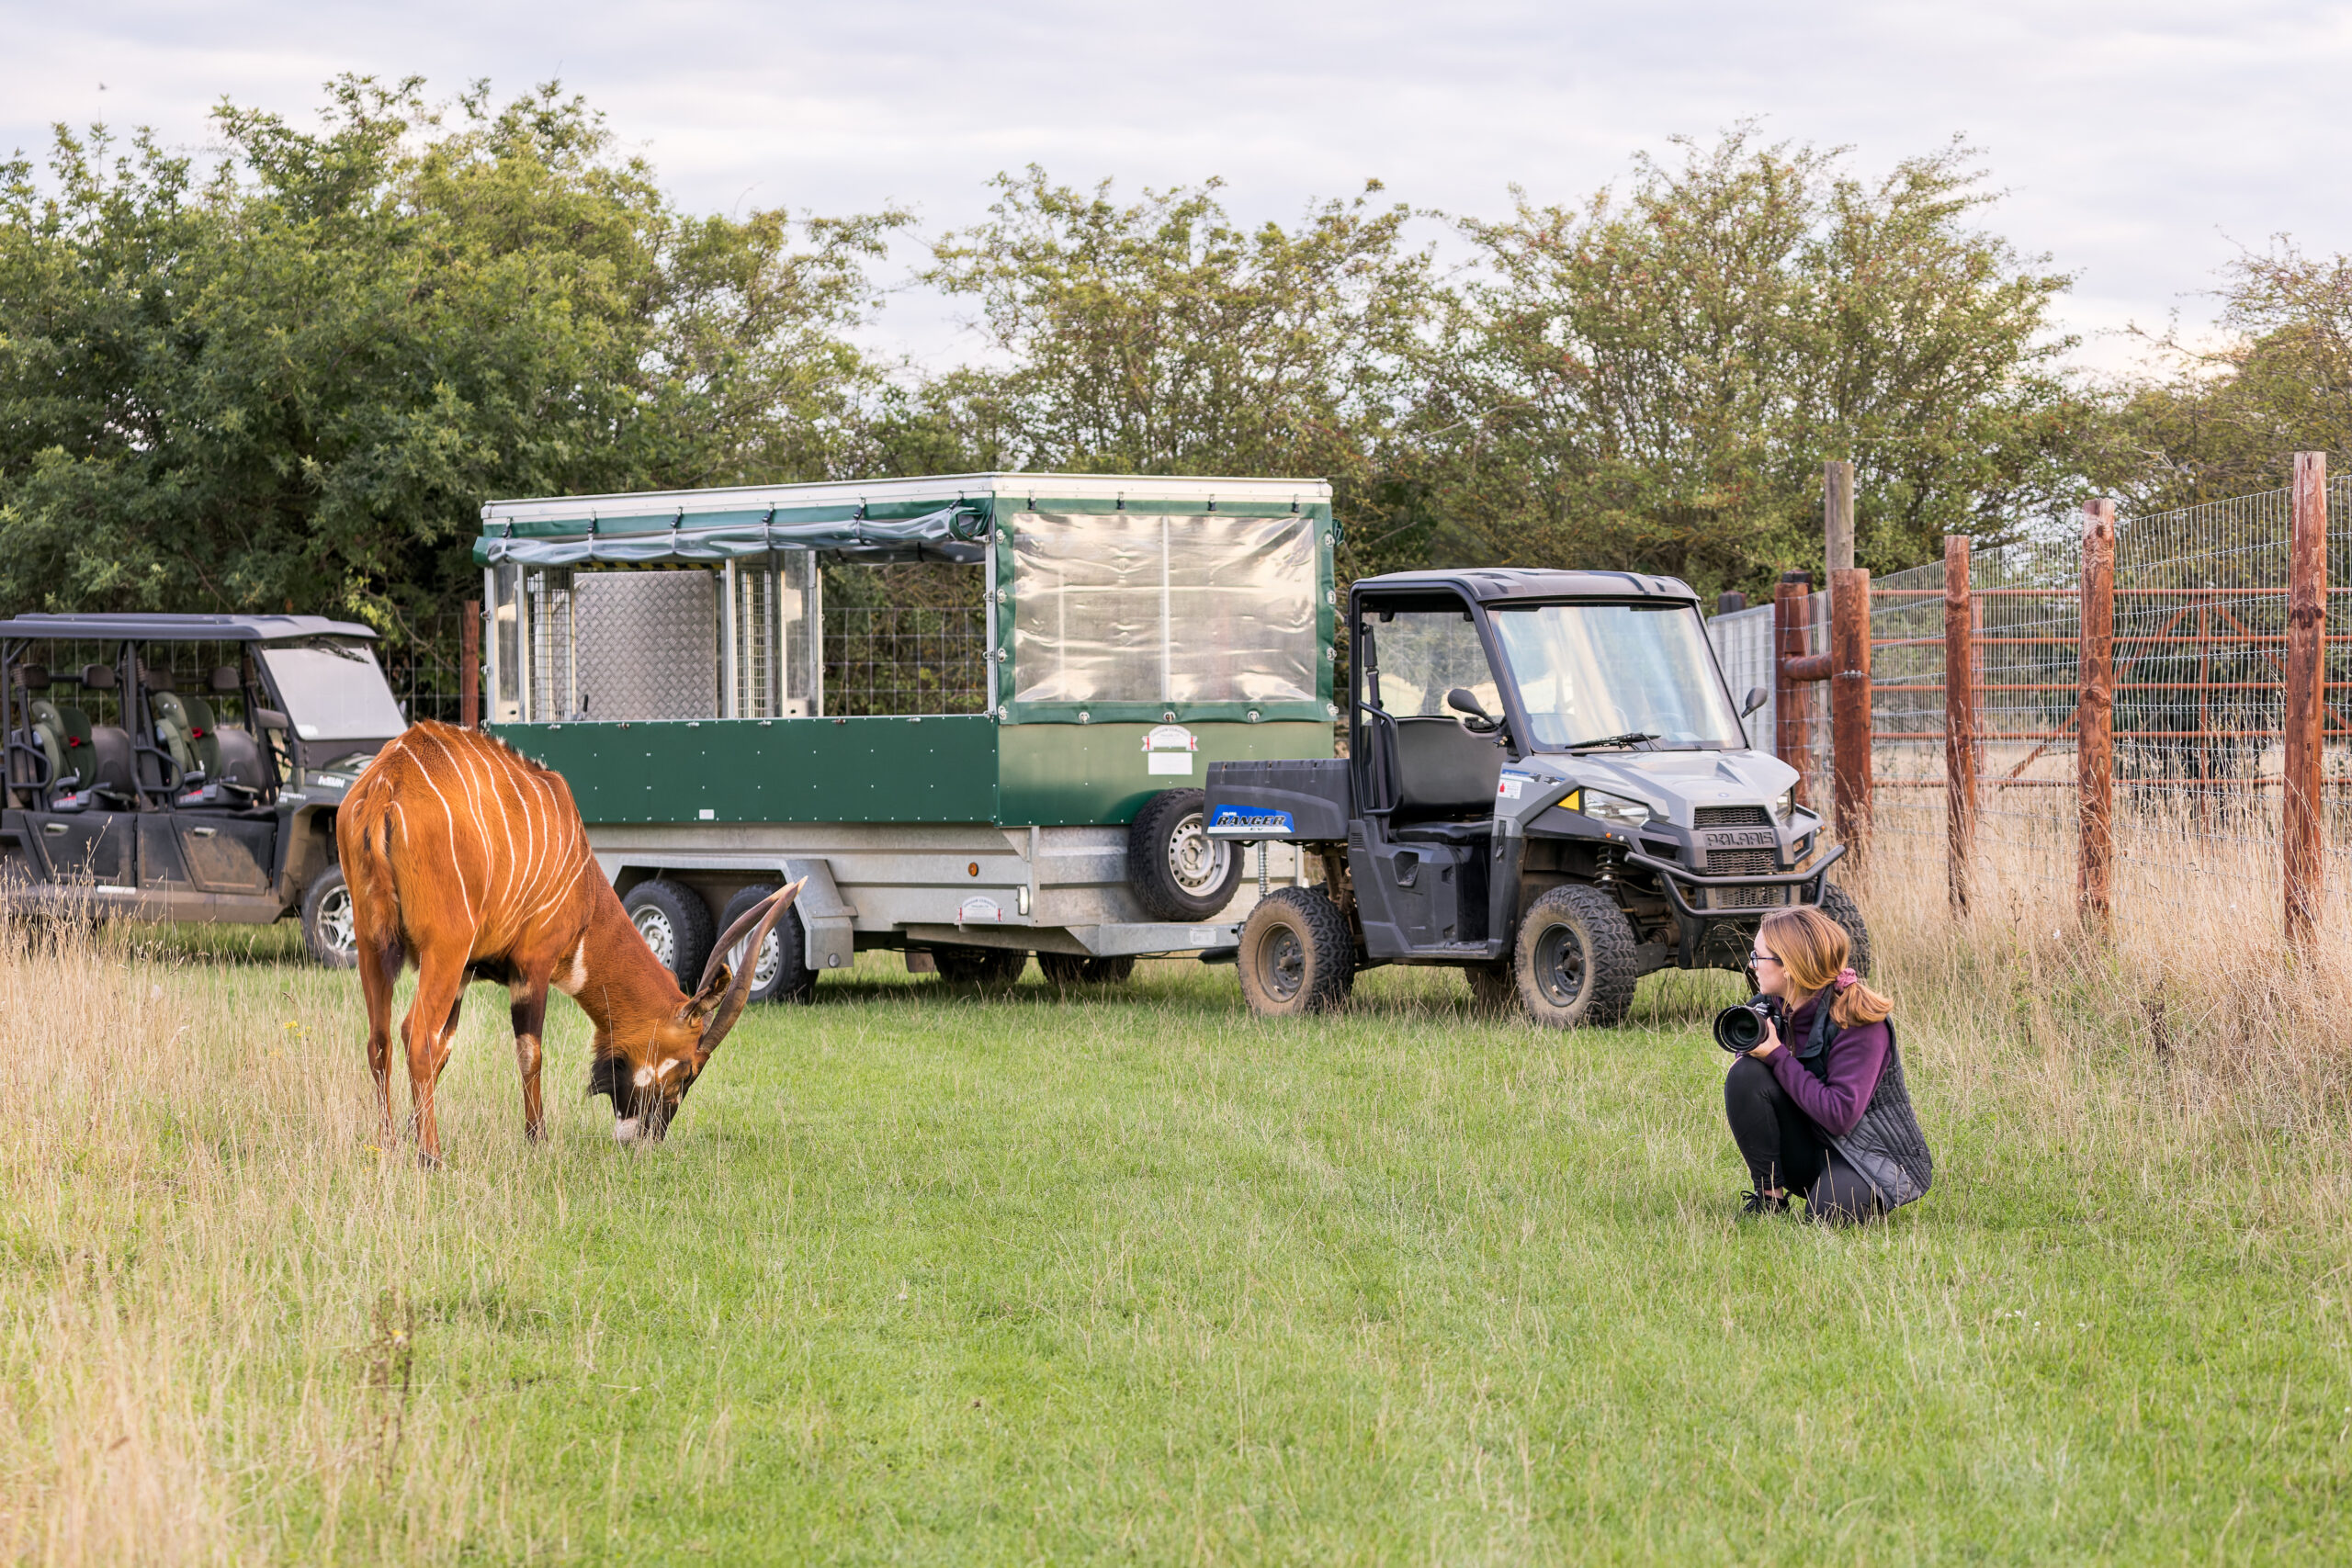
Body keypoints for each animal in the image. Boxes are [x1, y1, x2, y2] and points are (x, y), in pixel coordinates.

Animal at [338, 724, 799, 1166]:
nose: (646, 1138)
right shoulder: (532, 966)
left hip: (373, 946)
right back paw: (430, 1156)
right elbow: (529, 1053)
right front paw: (537, 1140)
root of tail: (387, 785)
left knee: (380, 1040)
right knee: (415, 1034)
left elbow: (444, 1052)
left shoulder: (468, 972)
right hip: (442, 950)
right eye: (685, 1072)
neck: (588, 893)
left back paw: (389, 1144)